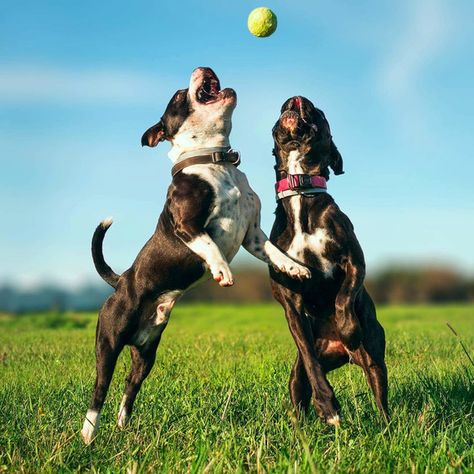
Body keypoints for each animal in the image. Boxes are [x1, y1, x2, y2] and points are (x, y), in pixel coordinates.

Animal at [81, 67, 312, 444]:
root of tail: (121, 282)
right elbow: (209, 244)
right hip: (109, 343)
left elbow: (274, 252)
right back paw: (89, 433)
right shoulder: (186, 225)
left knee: (130, 386)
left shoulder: (253, 235)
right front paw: (222, 271)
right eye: (177, 96)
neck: (216, 161)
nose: (201, 68)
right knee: (100, 388)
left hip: (146, 352)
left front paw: (294, 267)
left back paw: (123, 424)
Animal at [268, 96, 386, 426]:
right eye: (281, 108)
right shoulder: (290, 300)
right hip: (297, 378)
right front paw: (327, 406)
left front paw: (348, 328)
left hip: (374, 359)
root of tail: (341, 354)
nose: (296, 99)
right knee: (300, 391)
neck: (301, 187)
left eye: (319, 112)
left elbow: (344, 297)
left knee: (381, 398)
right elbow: (309, 359)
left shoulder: (353, 261)